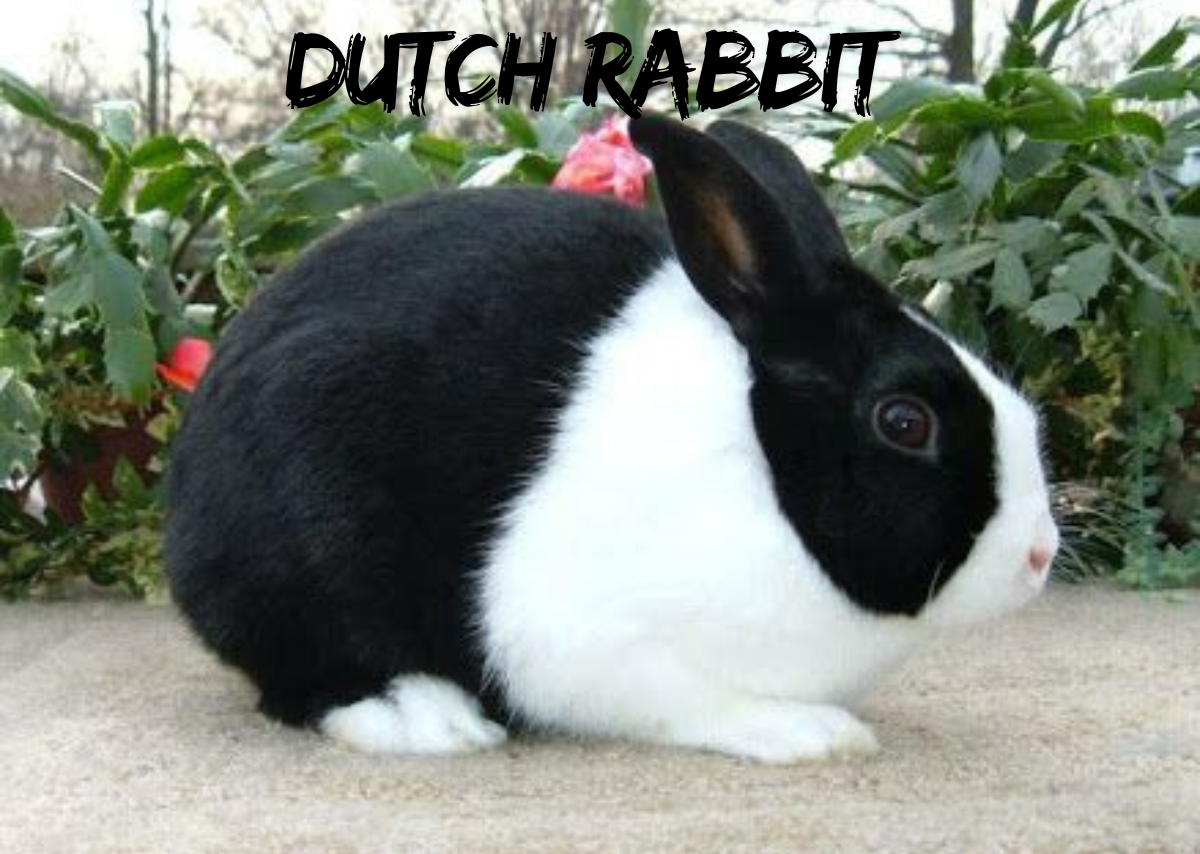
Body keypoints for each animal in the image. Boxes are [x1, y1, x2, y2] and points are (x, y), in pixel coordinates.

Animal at [164, 115, 1059, 763]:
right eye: (905, 421)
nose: (1040, 554)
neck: (758, 467)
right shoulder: (590, 640)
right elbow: (691, 702)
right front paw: (816, 736)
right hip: (309, 544)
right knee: (307, 676)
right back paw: (431, 721)